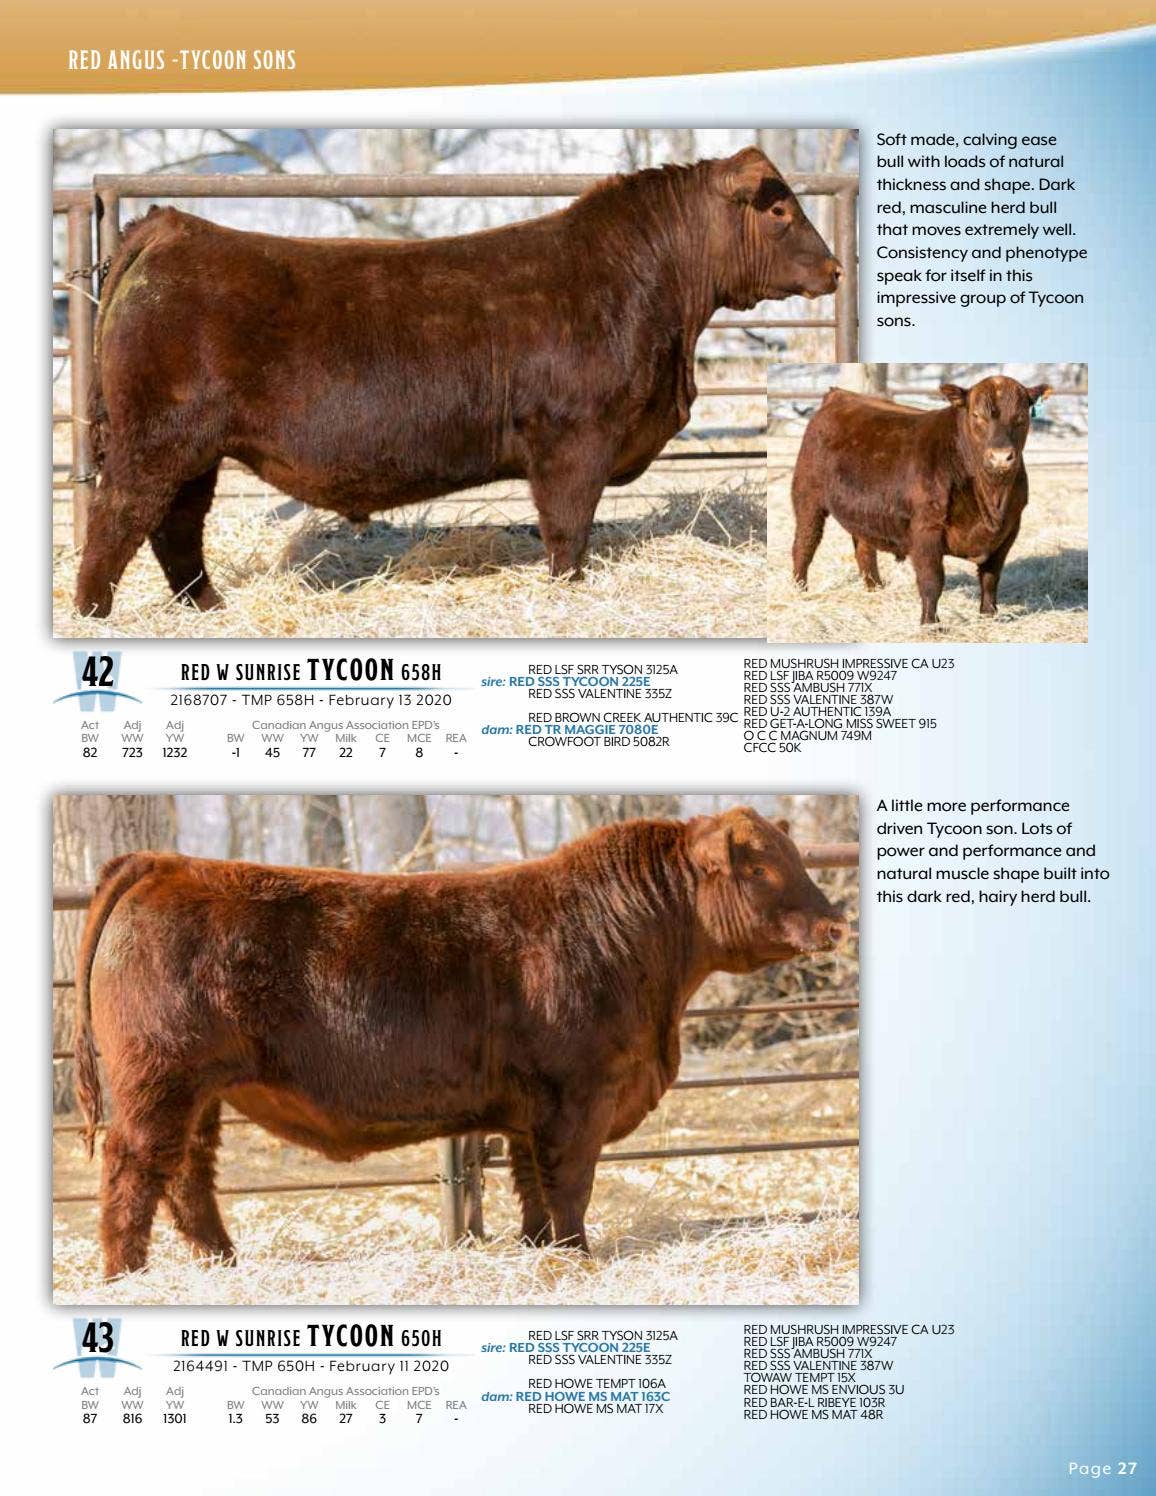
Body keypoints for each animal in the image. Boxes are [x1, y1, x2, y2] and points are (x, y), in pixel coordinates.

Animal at [73, 148, 842, 617]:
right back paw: (93, 614)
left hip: (194, 450)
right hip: (156, 437)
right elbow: (568, 531)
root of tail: (171, 226)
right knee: (119, 518)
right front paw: (568, 591)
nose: (836, 269)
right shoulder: (573, 439)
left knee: (175, 528)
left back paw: (207, 609)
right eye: (779, 211)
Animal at [73, 808, 850, 1275]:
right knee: (133, 1171)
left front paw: (540, 1252)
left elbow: (533, 1185)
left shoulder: (532, 1111)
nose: (836, 924)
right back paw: (126, 1276)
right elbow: (571, 1183)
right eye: (760, 866)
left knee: (188, 1177)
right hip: (160, 1080)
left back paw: (224, 1263)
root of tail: (164, 862)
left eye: (794, 855)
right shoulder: (579, 1095)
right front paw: (578, 1255)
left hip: (200, 1091)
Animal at [789, 375, 1052, 626]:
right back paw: (799, 589)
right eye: (977, 415)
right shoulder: (926, 529)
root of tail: (840, 395)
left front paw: (989, 615)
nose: (1000, 457)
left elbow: (990, 577)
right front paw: (930, 623)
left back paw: (875, 588)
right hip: (808, 498)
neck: (991, 498)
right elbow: (932, 580)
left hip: (863, 513)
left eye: (1020, 416)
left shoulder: (1009, 531)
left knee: (864, 549)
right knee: (805, 544)